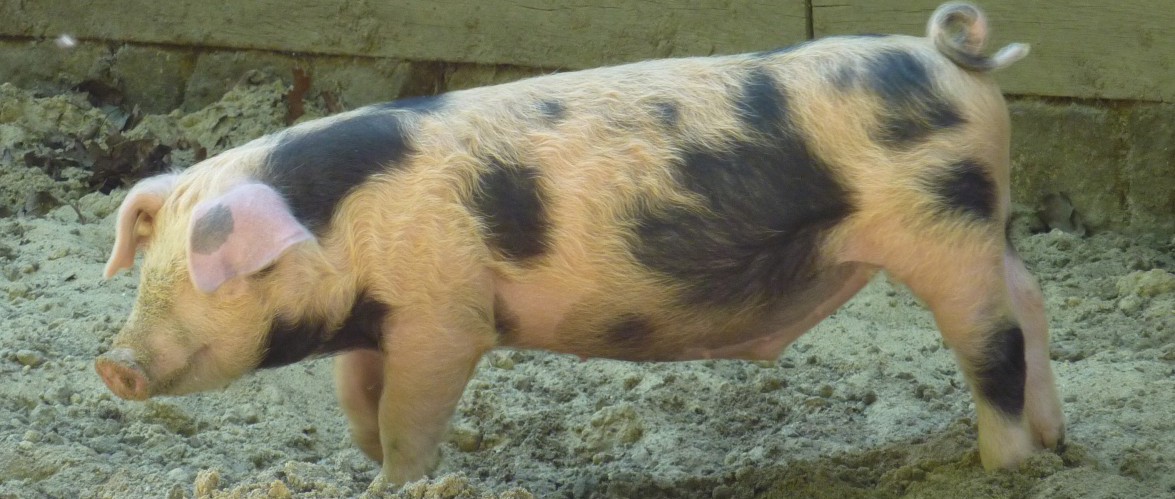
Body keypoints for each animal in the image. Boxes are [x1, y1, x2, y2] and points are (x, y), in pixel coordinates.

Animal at [95, 2, 1063, 485]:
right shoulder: (384, 314)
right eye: (147, 274)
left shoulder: (447, 316)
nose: (113, 362)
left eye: (211, 273)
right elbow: (358, 400)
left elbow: (409, 414)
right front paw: (371, 459)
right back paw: (1056, 444)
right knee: (1032, 305)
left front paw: (395, 479)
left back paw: (999, 463)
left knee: (993, 341)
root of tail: (951, 62)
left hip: (939, 224)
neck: (340, 225)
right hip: (987, 223)